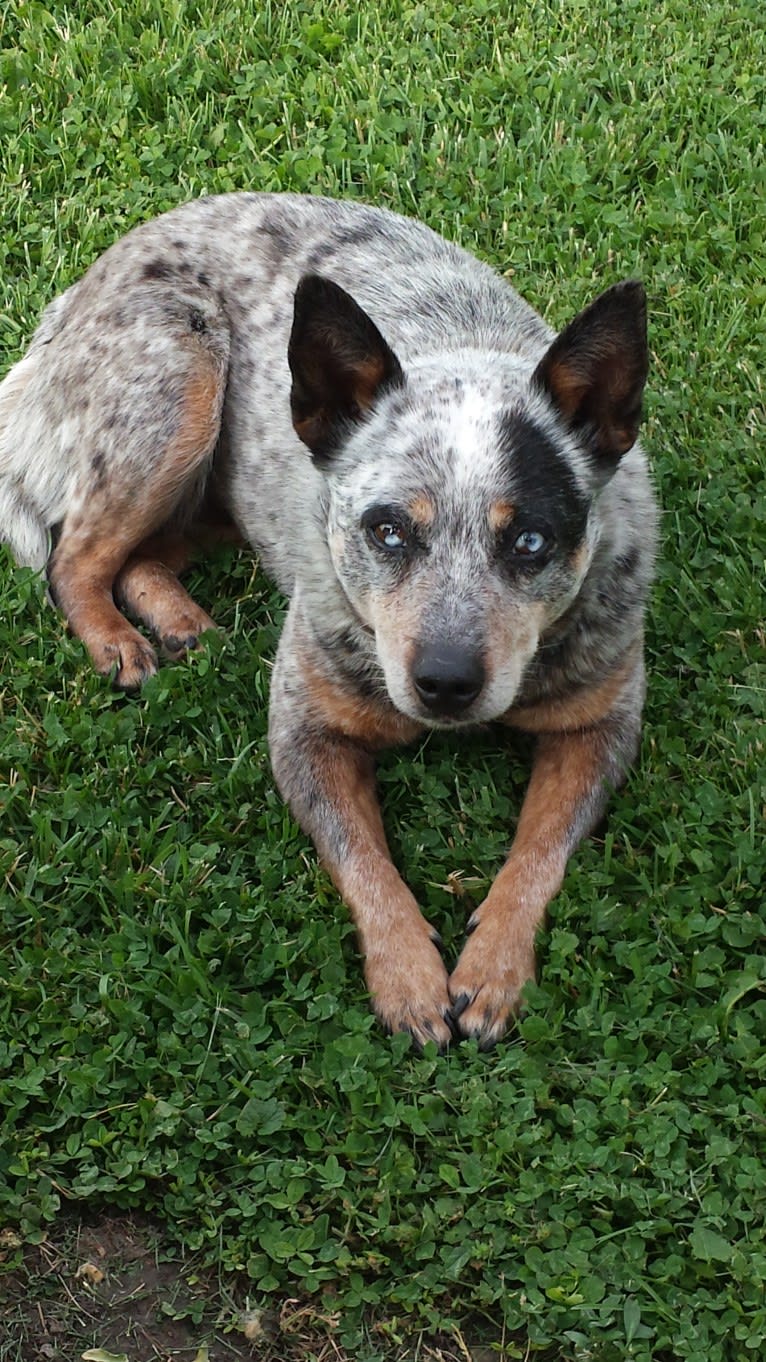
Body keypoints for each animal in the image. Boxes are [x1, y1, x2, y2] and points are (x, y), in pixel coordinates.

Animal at [0, 192, 656, 1046]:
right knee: (74, 556)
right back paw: (116, 643)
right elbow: (363, 860)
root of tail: (80, 291)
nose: (446, 683)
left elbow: (542, 849)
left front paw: (494, 969)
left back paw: (178, 620)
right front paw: (409, 979)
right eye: (388, 530)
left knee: (143, 555)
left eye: (531, 541)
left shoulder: (600, 727)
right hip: (182, 388)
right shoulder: (304, 733)